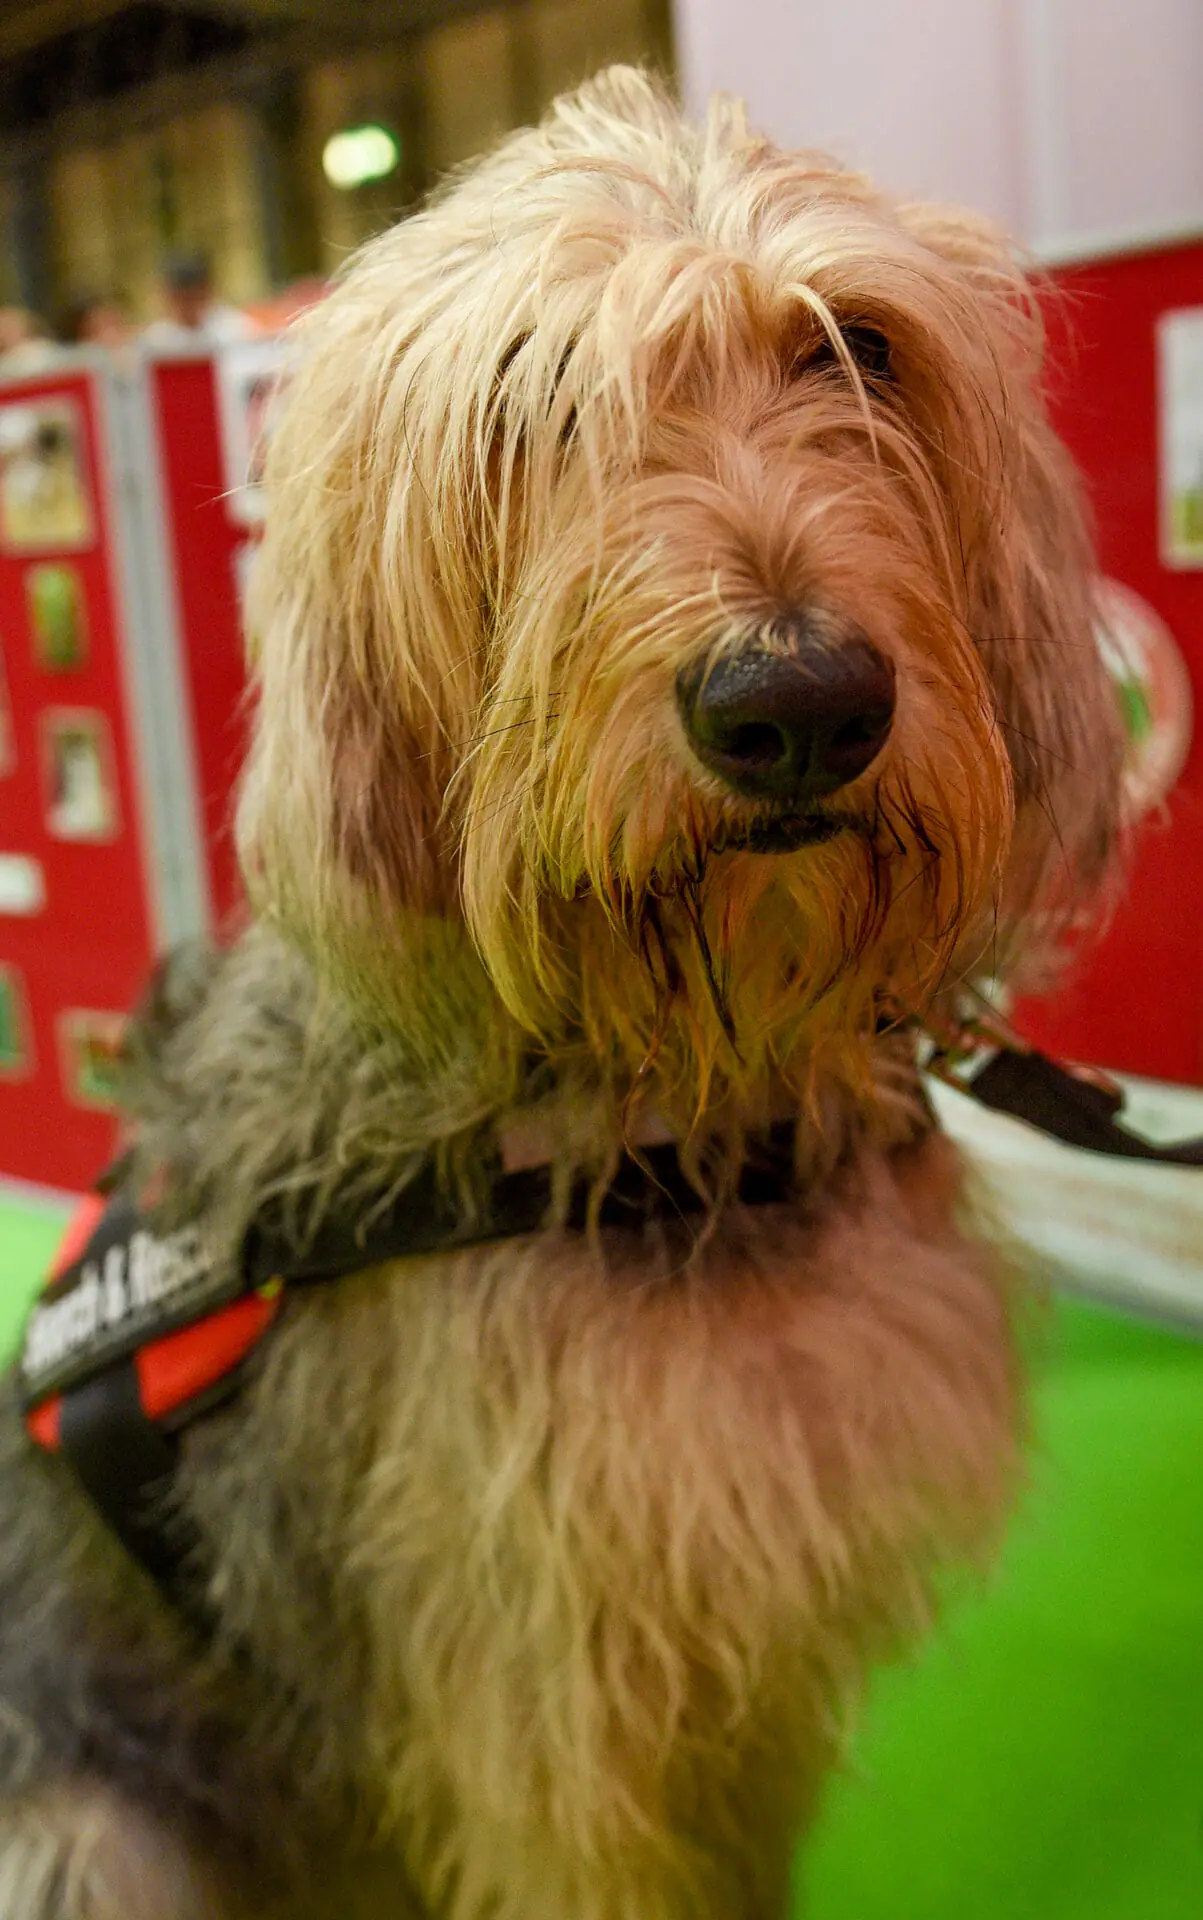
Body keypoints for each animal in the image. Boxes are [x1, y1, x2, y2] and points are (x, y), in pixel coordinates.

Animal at [2, 67, 1128, 1912]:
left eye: (856, 348)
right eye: (534, 394)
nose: (794, 706)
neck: (681, 1105)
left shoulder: (720, 1680)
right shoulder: (548, 1720)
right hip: (90, 1840)